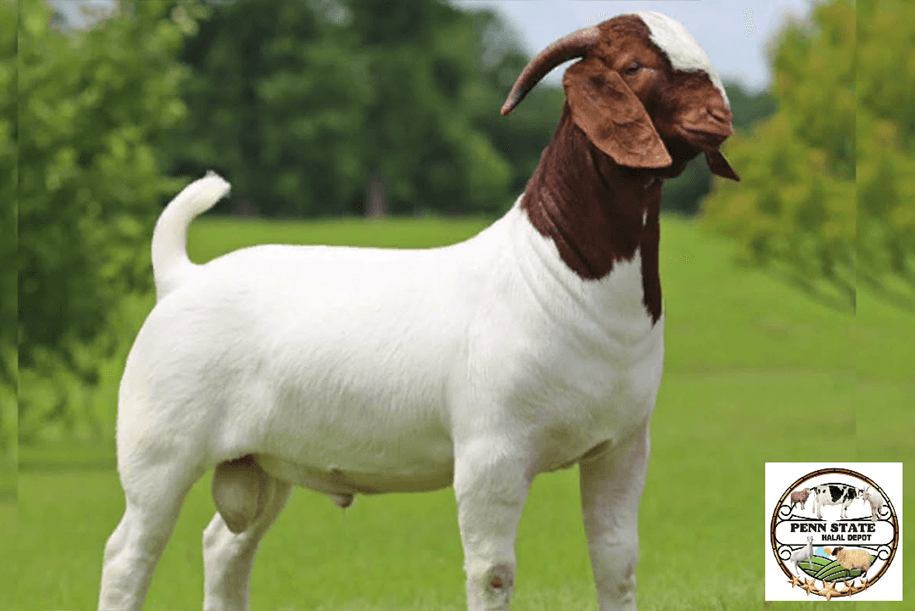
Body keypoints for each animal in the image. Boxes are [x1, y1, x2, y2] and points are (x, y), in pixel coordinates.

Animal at [98, 11, 738, 611]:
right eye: (633, 66)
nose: (721, 117)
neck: (553, 275)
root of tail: (181, 277)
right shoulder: (490, 455)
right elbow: (493, 573)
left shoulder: (622, 449)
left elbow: (616, 563)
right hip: (159, 452)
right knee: (128, 555)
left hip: (262, 462)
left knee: (225, 547)